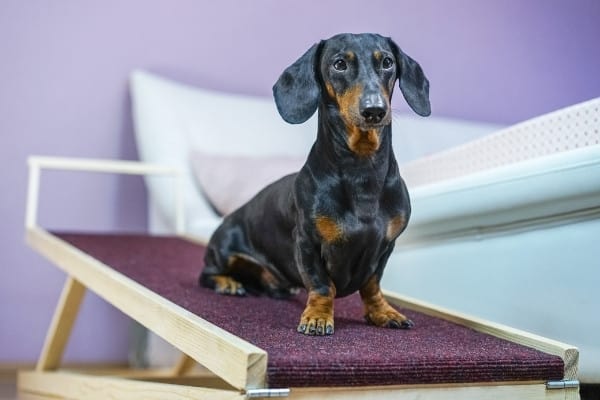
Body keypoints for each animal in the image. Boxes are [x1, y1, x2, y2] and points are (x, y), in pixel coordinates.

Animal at [199, 33, 428, 334]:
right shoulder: (306, 242)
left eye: (387, 62)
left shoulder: (385, 247)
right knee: (207, 274)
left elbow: (371, 285)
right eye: (339, 64)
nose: (375, 110)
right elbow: (322, 285)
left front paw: (383, 312)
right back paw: (228, 283)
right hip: (224, 249)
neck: (362, 171)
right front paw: (318, 316)